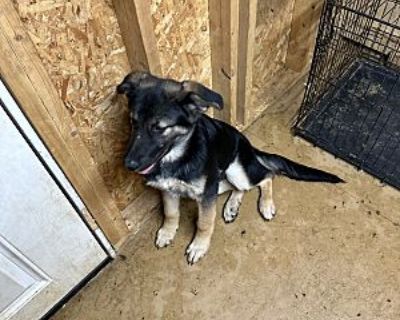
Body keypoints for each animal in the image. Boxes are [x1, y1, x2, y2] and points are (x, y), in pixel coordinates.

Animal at [116, 71, 344, 264]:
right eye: (133, 122)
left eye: (159, 128)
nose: (128, 164)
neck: (180, 155)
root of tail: (249, 147)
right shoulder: (171, 189)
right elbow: (170, 213)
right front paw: (167, 231)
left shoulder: (206, 195)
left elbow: (204, 223)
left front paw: (199, 246)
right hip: (219, 181)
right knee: (239, 188)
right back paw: (231, 206)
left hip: (236, 170)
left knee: (266, 175)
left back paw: (265, 204)